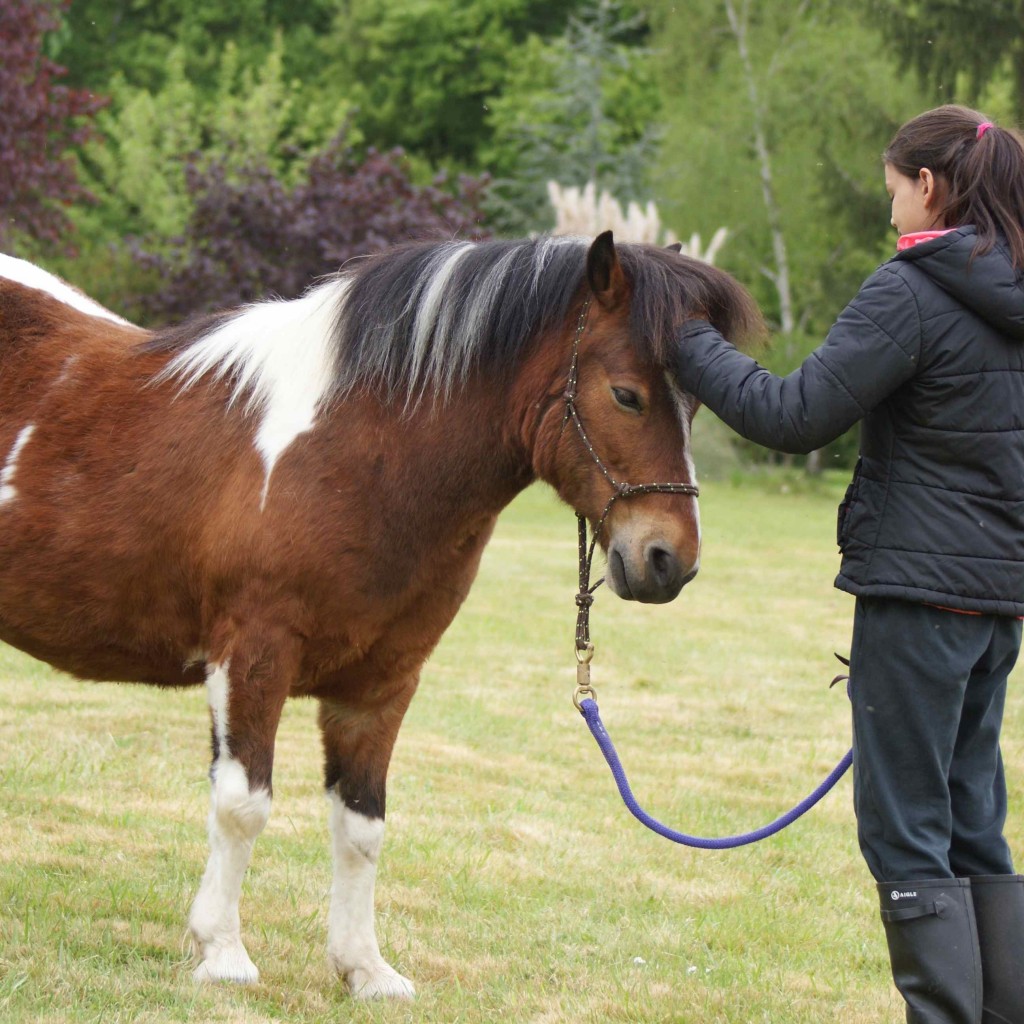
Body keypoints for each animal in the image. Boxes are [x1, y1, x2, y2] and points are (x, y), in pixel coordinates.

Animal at [0, 232, 761, 999]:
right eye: (626, 395)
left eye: (694, 407)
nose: (669, 559)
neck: (356, 455)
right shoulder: (253, 656)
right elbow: (244, 804)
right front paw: (222, 953)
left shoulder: (382, 682)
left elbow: (361, 828)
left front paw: (364, 968)